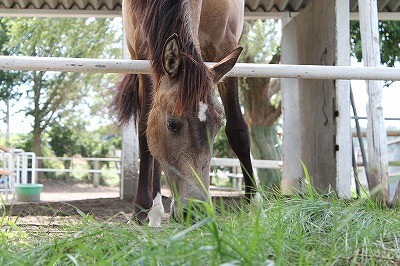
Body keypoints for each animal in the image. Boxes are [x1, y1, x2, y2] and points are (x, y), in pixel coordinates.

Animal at [114, 0, 255, 225]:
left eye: (217, 126)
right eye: (171, 124)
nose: (197, 211)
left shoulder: (225, 45)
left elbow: (237, 130)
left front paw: (253, 204)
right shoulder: (143, 56)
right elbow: (145, 133)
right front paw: (140, 210)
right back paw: (155, 210)